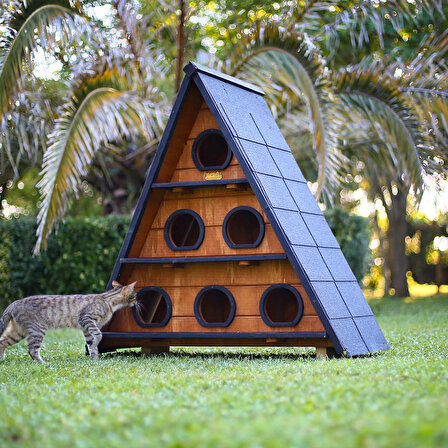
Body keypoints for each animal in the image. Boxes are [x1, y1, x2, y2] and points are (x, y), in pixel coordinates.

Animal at [0, 282, 136, 362]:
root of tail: (13, 303)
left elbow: (91, 345)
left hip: (19, 332)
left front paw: (94, 359)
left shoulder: (86, 329)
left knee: (3, 341)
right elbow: (98, 335)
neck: (108, 300)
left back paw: (1, 359)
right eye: (134, 295)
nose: (136, 302)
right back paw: (43, 363)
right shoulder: (86, 319)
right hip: (38, 329)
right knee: (32, 350)